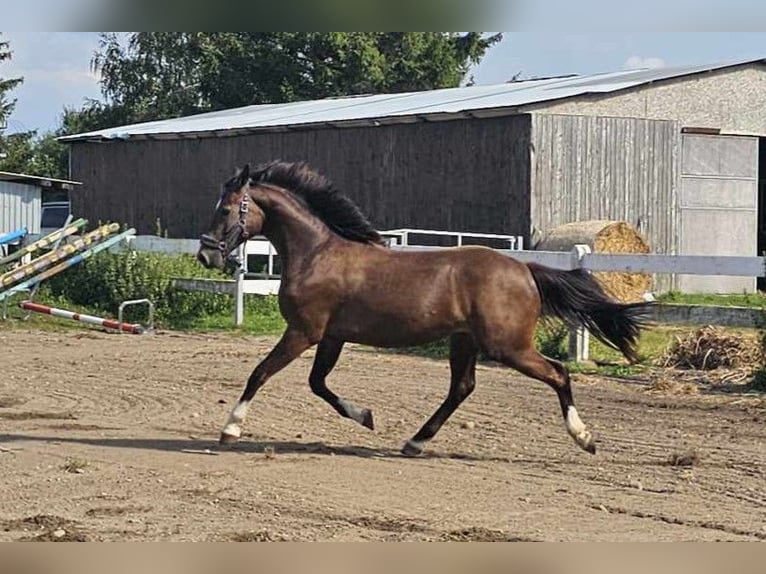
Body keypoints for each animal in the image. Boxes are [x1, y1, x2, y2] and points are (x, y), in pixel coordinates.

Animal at [198, 162, 656, 460]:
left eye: (227, 208)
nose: (206, 255)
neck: (317, 254)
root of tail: (524, 268)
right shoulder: (331, 336)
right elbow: (318, 384)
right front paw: (366, 416)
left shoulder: (303, 332)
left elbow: (260, 373)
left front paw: (229, 430)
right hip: (464, 341)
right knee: (462, 388)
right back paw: (414, 442)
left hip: (507, 345)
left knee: (558, 373)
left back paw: (584, 438)